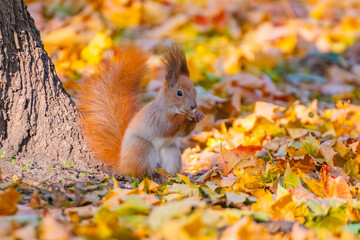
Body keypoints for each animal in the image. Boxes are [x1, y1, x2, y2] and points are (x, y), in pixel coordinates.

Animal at [78, 45, 202, 177]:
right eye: (179, 93)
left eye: (195, 91)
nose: (193, 106)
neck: (171, 108)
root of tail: (122, 164)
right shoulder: (157, 117)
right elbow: (167, 126)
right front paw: (186, 116)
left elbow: (183, 133)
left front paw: (198, 115)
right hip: (142, 149)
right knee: (138, 171)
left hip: (171, 152)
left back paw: (167, 178)